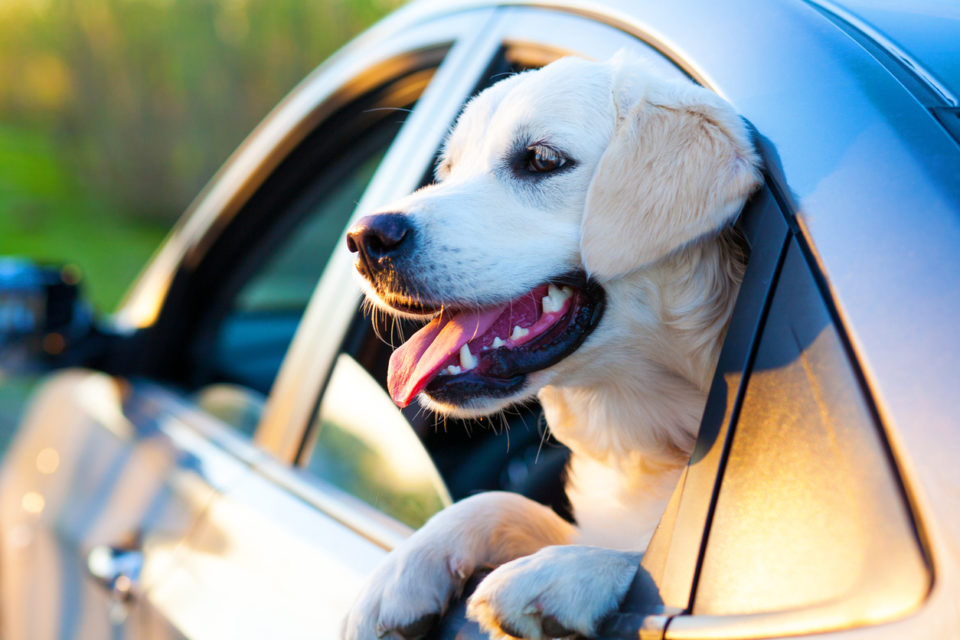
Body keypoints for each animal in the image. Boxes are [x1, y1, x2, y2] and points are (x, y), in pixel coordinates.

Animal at [342, 52, 760, 636]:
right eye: (448, 170)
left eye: (541, 159)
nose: (365, 239)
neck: (663, 429)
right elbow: (499, 501)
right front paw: (400, 573)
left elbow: (639, 564)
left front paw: (568, 575)